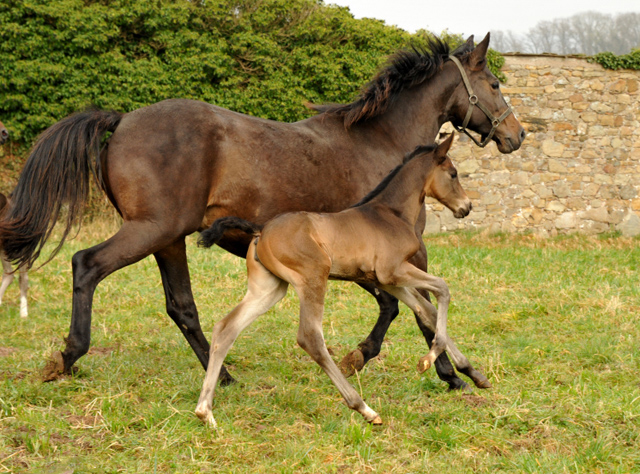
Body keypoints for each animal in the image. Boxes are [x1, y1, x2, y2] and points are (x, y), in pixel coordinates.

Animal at [0, 33, 524, 388]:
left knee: (182, 306)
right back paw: (67, 357)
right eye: (495, 83)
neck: (383, 143)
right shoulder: (397, 253)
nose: (516, 135)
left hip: (169, 239)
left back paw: (224, 375)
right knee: (86, 265)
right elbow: (418, 310)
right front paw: (449, 373)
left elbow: (398, 305)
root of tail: (122, 119)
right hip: (150, 230)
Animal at [195, 135, 484, 428]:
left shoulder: (389, 281)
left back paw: (205, 411)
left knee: (226, 328)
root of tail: (261, 230)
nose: (466, 207)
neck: (392, 214)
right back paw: (364, 408)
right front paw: (430, 359)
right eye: (453, 173)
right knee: (310, 337)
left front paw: (472, 373)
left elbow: (427, 311)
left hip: (269, 288)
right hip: (314, 277)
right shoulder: (394, 271)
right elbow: (442, 289)